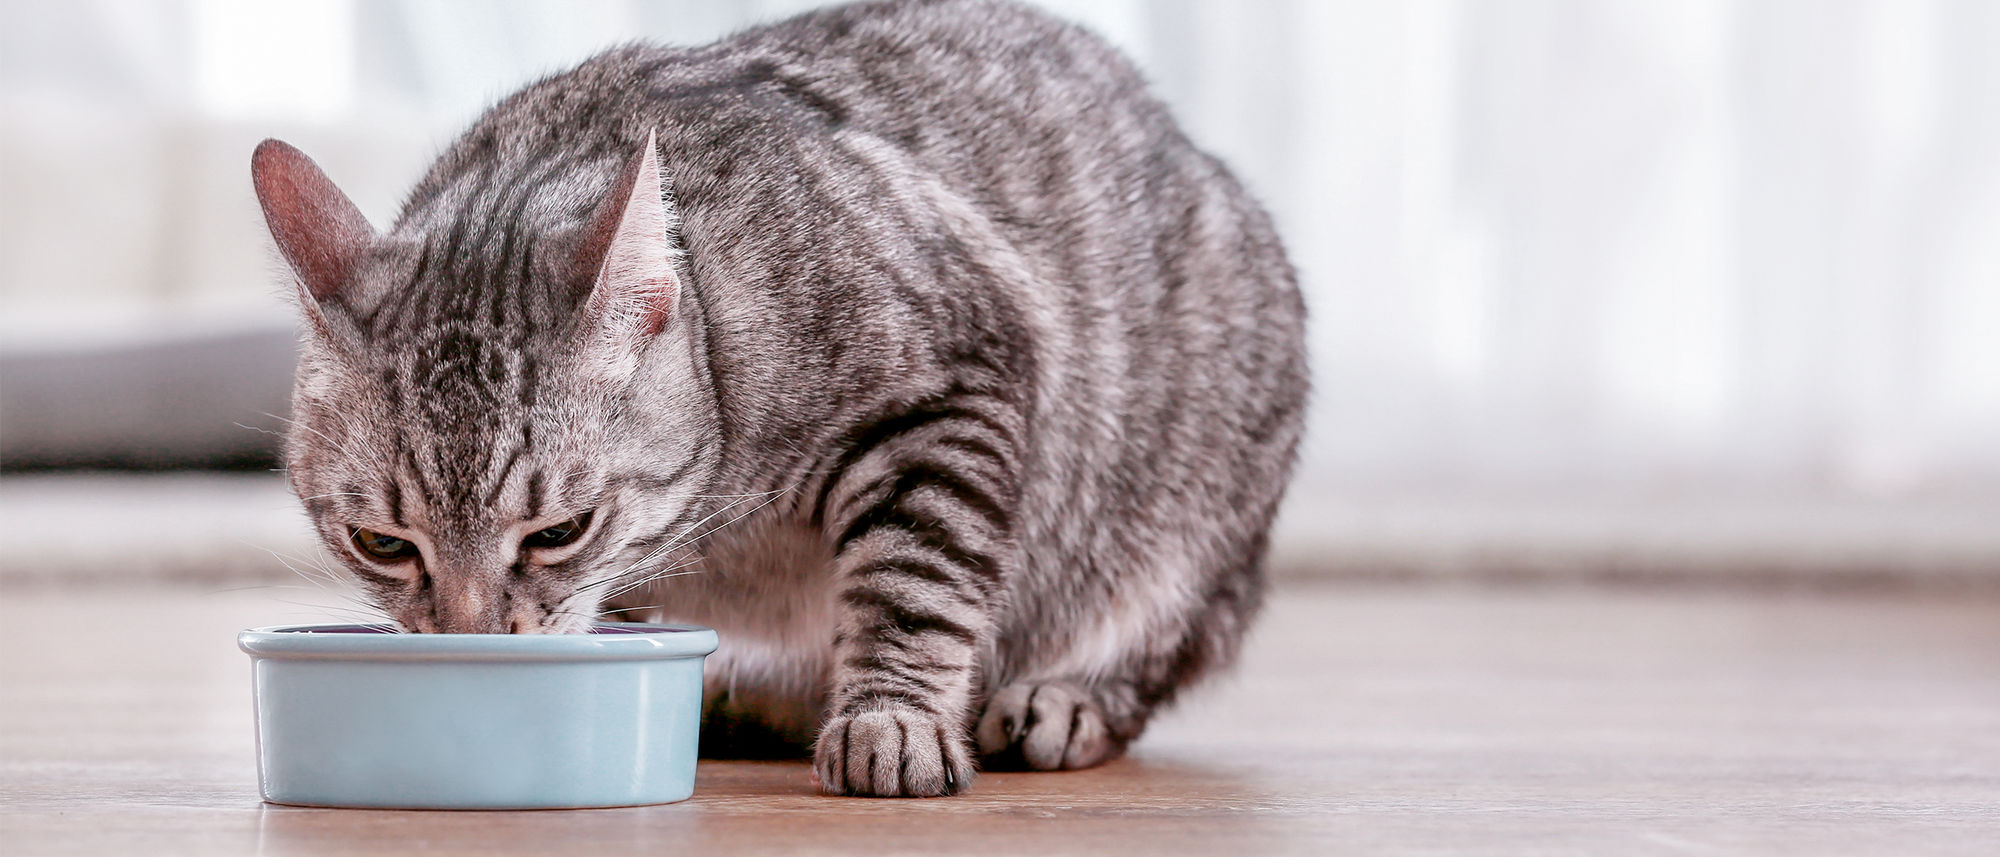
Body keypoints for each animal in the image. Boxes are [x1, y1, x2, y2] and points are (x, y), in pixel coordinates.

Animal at [254, 0, 1312, 796]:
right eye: (382, 543)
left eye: (560, 531)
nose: (472, 642)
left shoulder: (949, 387)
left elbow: (915, 583)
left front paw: (892, 719)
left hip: (1191, 512)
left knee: (1156, 647)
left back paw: (1064, 700)